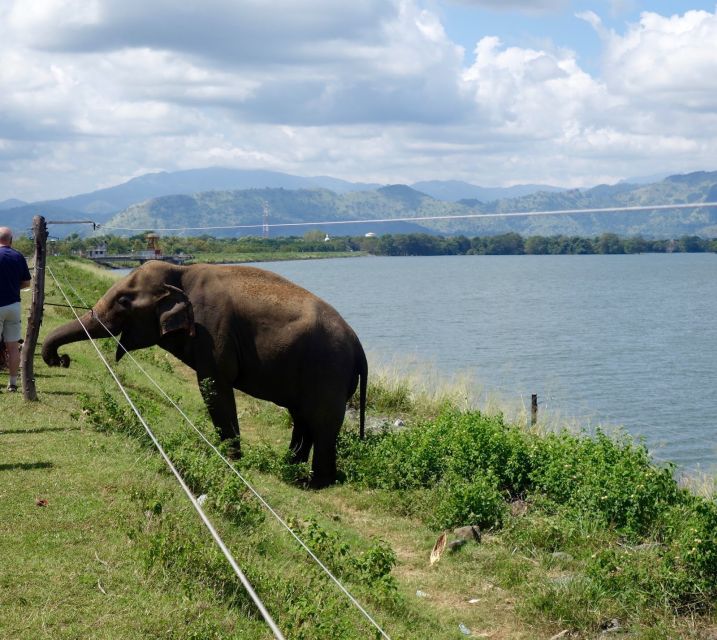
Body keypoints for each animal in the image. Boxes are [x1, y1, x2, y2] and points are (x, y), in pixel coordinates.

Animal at [42, 258, 366, 484]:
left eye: (124, 300)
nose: (62, 359)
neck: (180, 271)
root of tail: (359, 345)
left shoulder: (213, 329)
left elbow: (213, 385)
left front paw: (230, 459)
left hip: (328, 371)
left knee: (322, 420)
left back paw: (315, 483)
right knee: (303, 417)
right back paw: (291, 470)